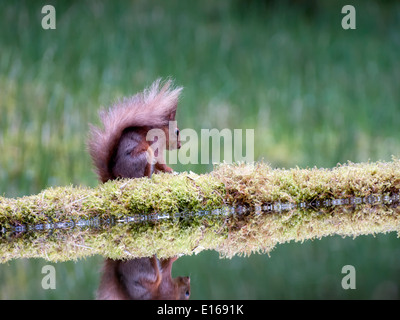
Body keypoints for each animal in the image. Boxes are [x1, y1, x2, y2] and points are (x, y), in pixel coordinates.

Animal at [88, 80, 191, 300]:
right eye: (177, 132)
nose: (179, 146)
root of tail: (114, 177)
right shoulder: (156, 149)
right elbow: (161, 163)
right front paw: (171, 171)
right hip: (144, 156)